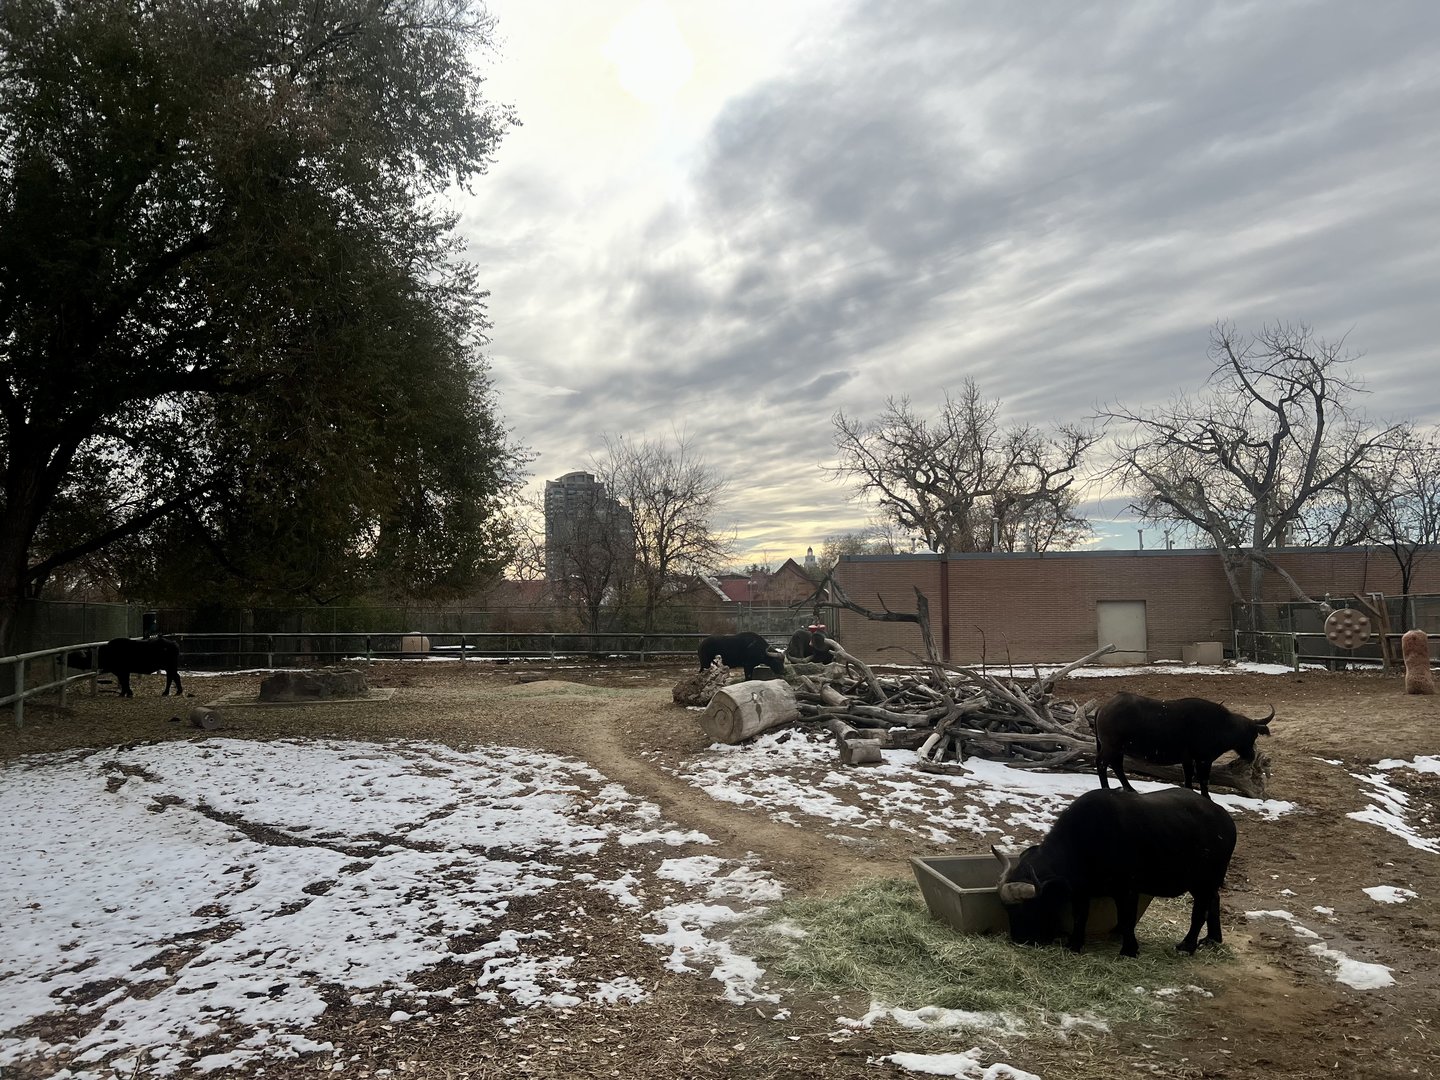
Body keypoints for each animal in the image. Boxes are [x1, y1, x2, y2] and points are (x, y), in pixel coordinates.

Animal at [993, 787, 1236, 957]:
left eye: (1029, 908)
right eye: (1007, 910)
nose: (1019, 939)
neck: (1081, 844)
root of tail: (1225, 820)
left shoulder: (1127, 891)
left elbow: (1127, 919)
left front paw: (1129, 950)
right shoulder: (1081, 892)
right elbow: (1081, 916)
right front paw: (1074, 944)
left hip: (1204, 881)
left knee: (1200, 911)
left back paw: (1188, 945)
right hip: (1204, 883)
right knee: (1214, 901)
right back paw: (1213, 939)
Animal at [1093, 691, 1273, 800]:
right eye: (1250, 735)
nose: (1251, 755)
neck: (1220, 725)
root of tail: (1103, 707)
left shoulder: (1188, 759)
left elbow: (1188, 777)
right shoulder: (1204, 760)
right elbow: (1203, 779)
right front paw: (1206, 797)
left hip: (1118, 749)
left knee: (1117, 766)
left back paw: (1130, 788)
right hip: (1111, 747)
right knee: (1102, 764)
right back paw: (1106, 789)